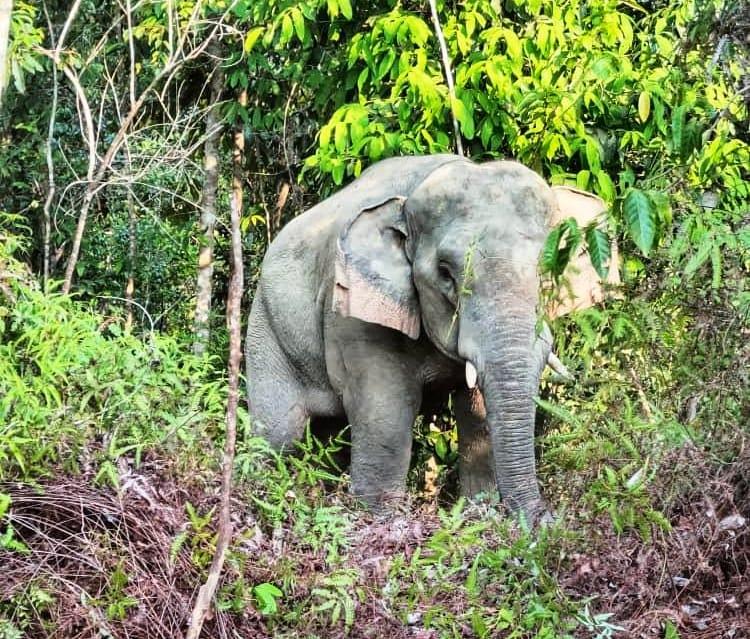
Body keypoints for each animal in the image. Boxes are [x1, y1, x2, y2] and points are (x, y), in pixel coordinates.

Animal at [247, 155, 616, 524]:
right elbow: (386, 414)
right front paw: (383, 521)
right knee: (277, 435)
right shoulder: (353, 318)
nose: (549, 520)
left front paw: (481, 515)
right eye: (445, 273)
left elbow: (477, 413)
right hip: (266, 332)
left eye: (550, 264)